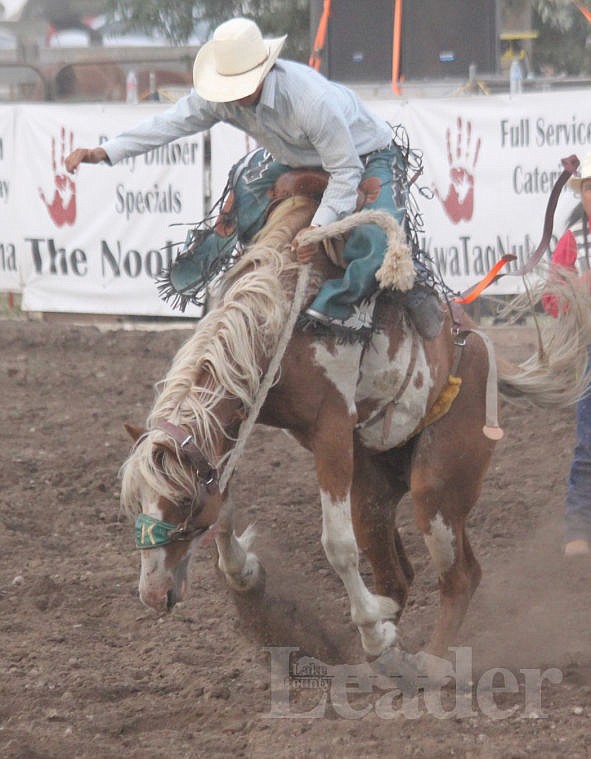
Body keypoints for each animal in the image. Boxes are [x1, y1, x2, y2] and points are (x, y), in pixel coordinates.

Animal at [120, 194, 591, 660]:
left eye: (183, 500)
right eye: (137, 500)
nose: (153, 594)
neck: (283, 319)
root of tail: (478, 344)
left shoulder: (330, 430)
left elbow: (338, 546)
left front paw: (372, 633)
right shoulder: (236, 420)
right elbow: (225, 508)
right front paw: (247, 574)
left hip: (440, 485)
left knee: (460, 576)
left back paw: (428, 662)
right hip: (373, 490)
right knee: (400, 577)